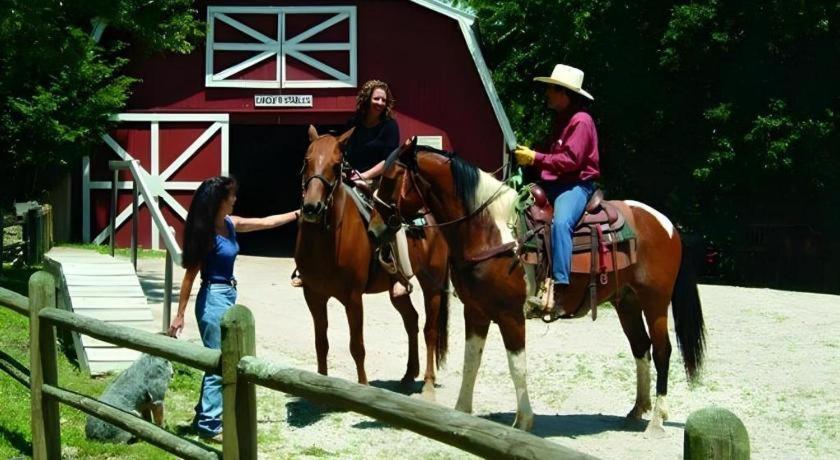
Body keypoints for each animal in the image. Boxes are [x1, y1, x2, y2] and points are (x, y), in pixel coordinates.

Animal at [296, 127, 452, 398]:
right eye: (307, 160)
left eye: (336, 165)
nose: (312, 207)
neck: (327, 242)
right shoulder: (313, 295)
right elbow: (321, 342)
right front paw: (319, 386)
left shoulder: (352, 297)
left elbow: (357, 345)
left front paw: (363, 387)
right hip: (397, 290)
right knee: (411, 321)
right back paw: (408, 375)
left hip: (432, 286)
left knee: (429, 331)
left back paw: (428, 384)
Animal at [370, 139, 704, 432]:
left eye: (390, 179)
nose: (373, 230)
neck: (490, 231)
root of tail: (667, 224)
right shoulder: (475, 312)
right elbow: (471, 361)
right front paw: (461, 412)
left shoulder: (510, 315)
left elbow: (517, 366)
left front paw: (523, 421)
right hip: (627, 303)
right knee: (641, 347)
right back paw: (637, 410)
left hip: (655, 303)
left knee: (662, 351)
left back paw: (657, 421)